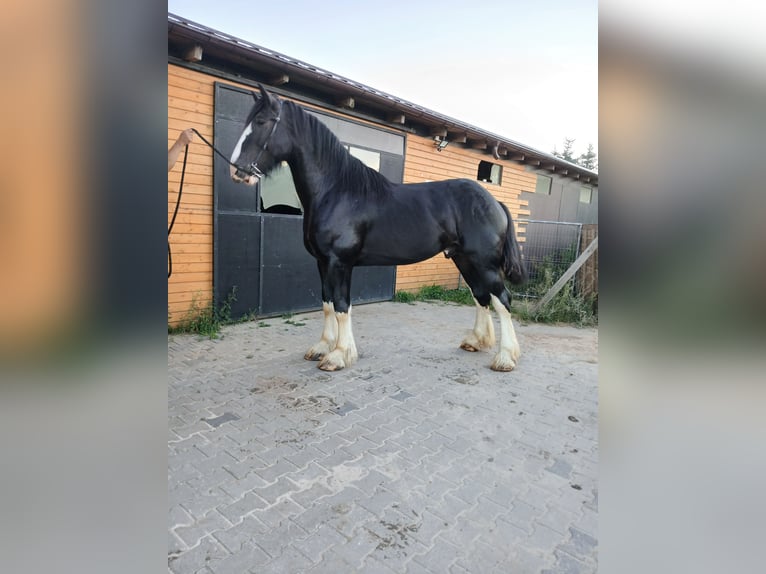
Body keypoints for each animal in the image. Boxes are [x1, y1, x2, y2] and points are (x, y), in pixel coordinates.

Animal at [228, 84, 528, 374]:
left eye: (261, 121)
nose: (236, 170)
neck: (337, 191)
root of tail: (494, 202)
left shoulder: (340, 262)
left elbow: (341, 306)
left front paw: (339, 355)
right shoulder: (322, 263)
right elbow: (326, 304)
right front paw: (323, 347)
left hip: (483, 262)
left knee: (502, 299)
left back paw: (505, 358)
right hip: (463, 259)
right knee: (480, 296)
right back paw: (477, 342)